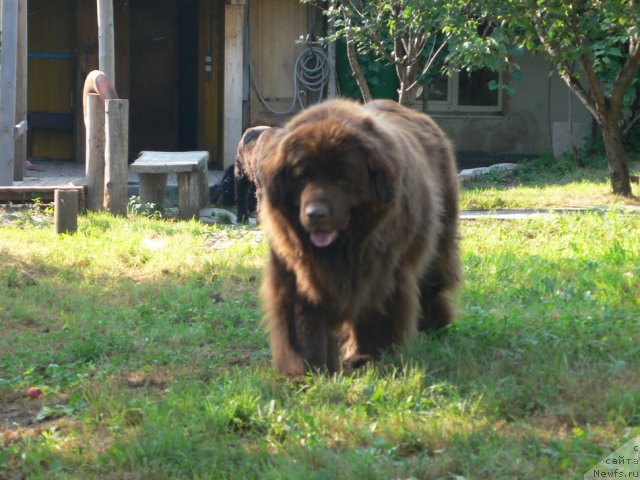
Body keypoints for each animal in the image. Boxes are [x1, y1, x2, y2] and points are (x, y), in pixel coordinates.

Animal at [258, 99, 462, 376]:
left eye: (343, 179)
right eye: (303, 176)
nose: (315, 214)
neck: (344, 246)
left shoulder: (382, 270)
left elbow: (375, 309)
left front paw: (367, 356)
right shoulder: (294, 266)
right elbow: (301, 316)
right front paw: (305, 368)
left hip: (439, 237)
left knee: (432, 280)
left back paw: (431, 322)